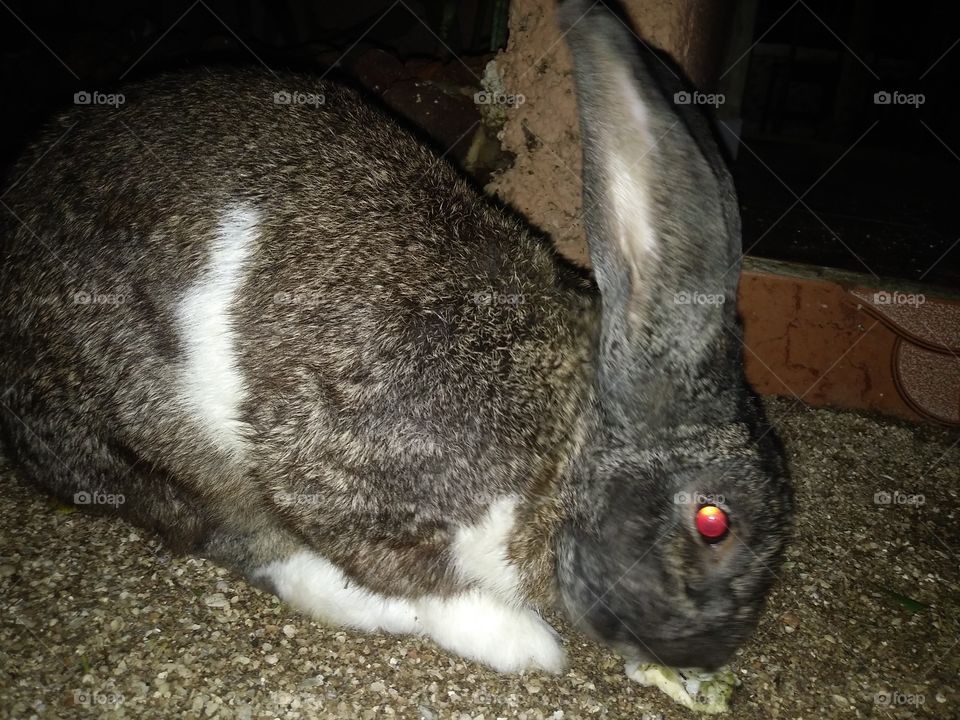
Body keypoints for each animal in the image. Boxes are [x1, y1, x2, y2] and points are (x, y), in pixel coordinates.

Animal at [0, 0, 792, 675]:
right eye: (715, 524)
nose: (706, 657)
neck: (564, 441)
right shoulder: (338, 471)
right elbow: (416, 578)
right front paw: (524, 646)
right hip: (162, 445)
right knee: (235, 538)